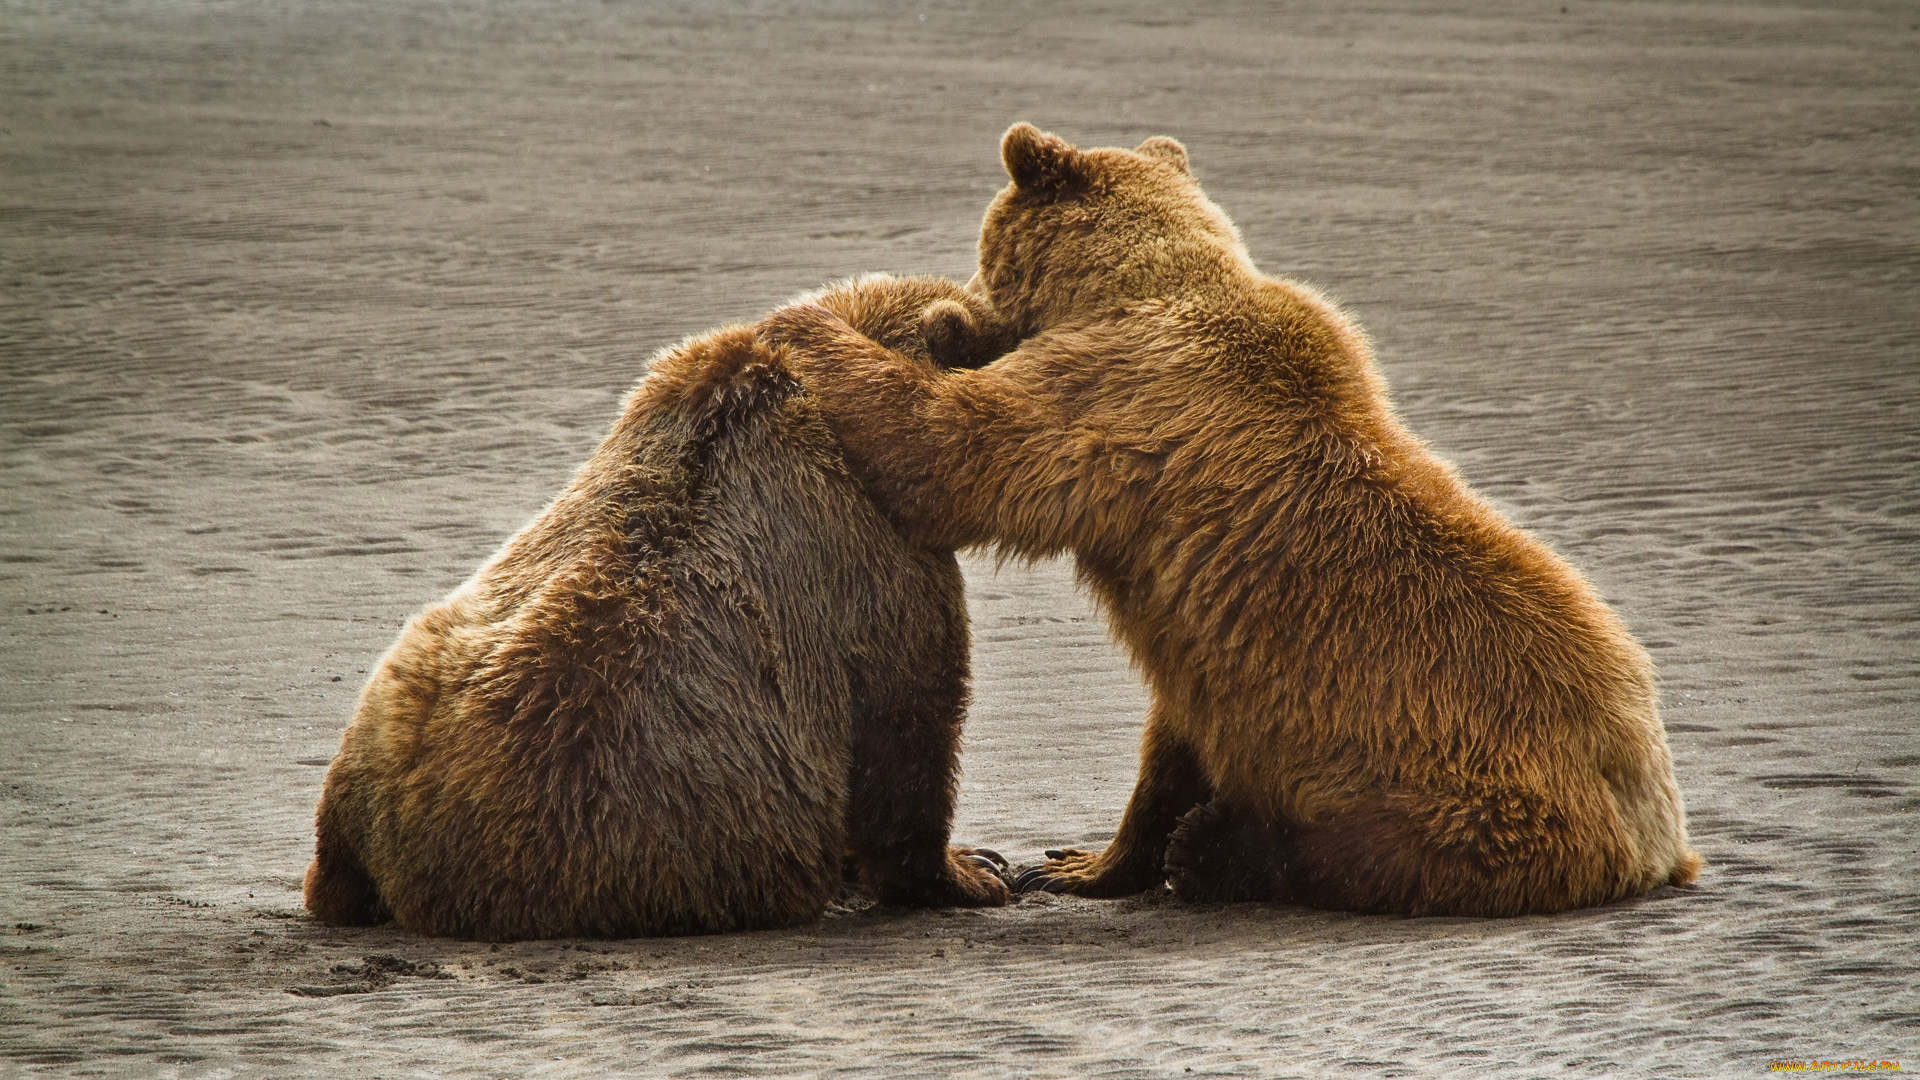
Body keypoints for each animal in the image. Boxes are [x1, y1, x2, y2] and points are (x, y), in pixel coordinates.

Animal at [756, 125, 1704, 914]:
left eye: (984, 247)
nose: (967, 303)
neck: (1140, 286)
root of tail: (1662, 838)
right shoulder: (1200, 647)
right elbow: (1169, 742)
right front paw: (1081, 862)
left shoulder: (1114, 398)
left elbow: (948, 450)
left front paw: (808, 320)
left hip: (1469, 797)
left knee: (1377, 850)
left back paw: (1223, 852)